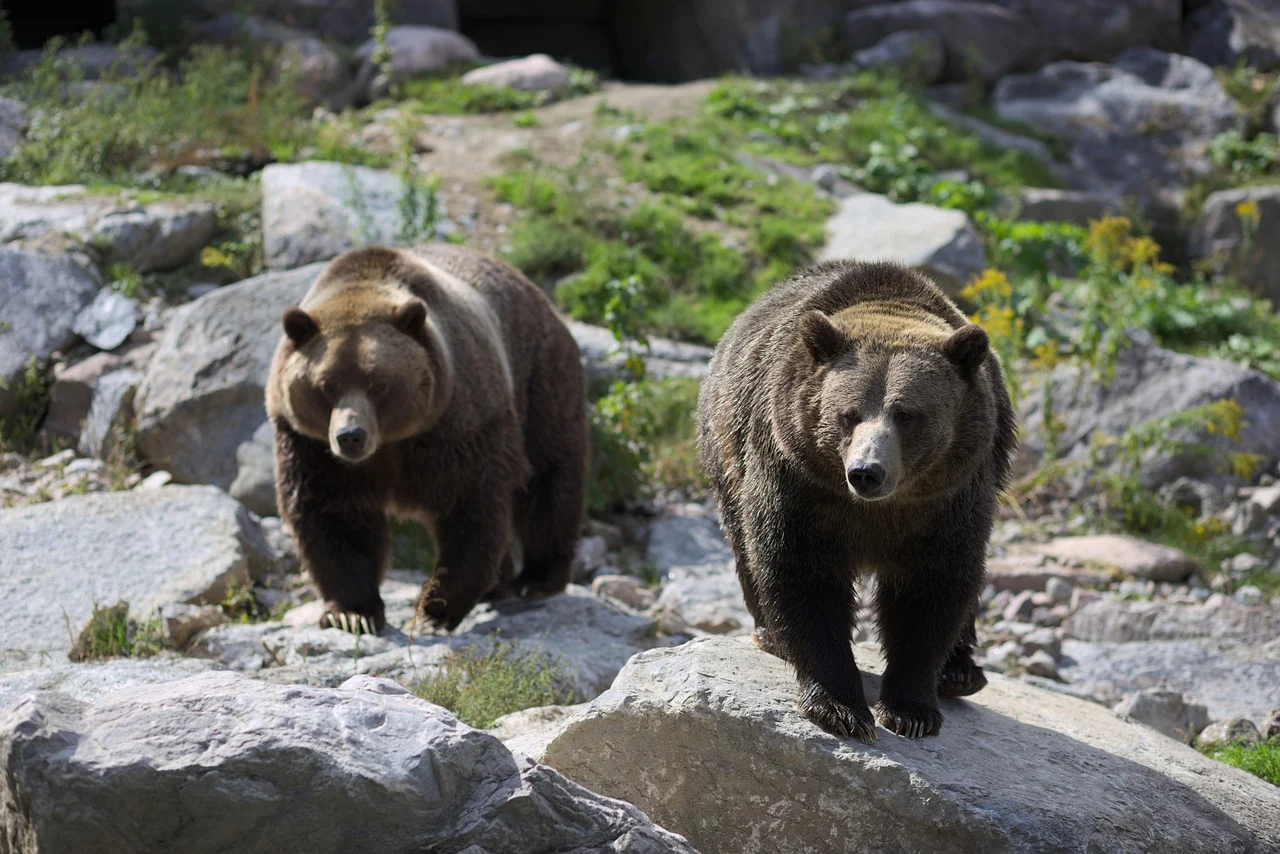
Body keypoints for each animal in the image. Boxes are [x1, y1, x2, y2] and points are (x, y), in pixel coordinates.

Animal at [266, 243, 588, 635]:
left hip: (540, 377)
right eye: (327, 384)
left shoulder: (456, 423)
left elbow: (472, 505)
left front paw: (434, 608)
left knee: (551, 476)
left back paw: (538, 578)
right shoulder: (310, 445)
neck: (390, 443)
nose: (351, 436)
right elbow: (333, 515)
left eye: (378, 383)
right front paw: (353, 613)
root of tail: (539, 294)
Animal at [696, 260, 1016, 742]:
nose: (866, 471)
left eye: (907, 414)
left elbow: (933, 584)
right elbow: (800, 569)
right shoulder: (798, 480)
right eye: (848, 414)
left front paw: (910, 709)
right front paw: (840, 707)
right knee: (745, 544)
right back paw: (770, 634)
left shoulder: (948, 499)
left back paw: (961, 671)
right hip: (727, 453)